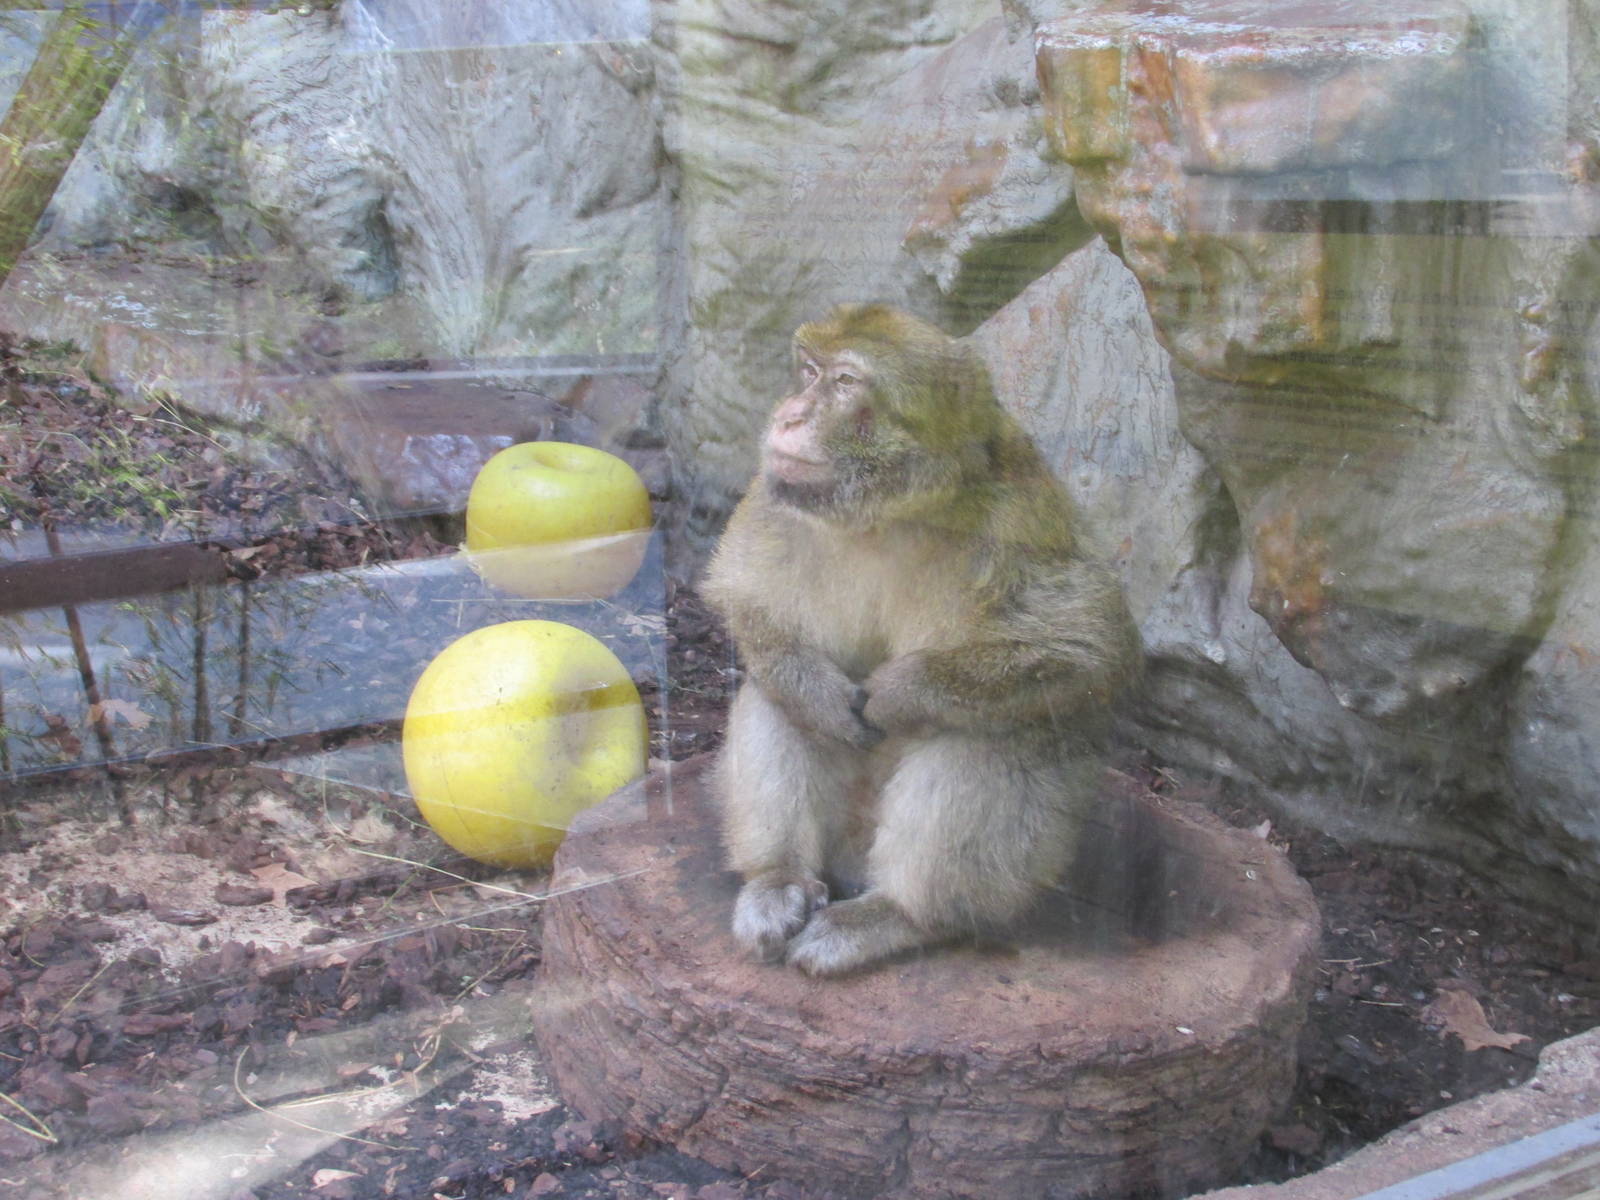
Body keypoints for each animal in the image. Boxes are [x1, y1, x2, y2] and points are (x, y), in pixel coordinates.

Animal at [702, 304, 1141, 976]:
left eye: (846, 383)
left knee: (992, 735)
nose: (789, 415)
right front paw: (818, 693)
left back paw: (896, 915)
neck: (888, 514)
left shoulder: (1019, 518)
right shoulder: (774, 491)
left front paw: (903, 693)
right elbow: (747, 600)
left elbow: (1090, 650)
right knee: (776, 699)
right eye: (809, 371)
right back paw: (779, 880)